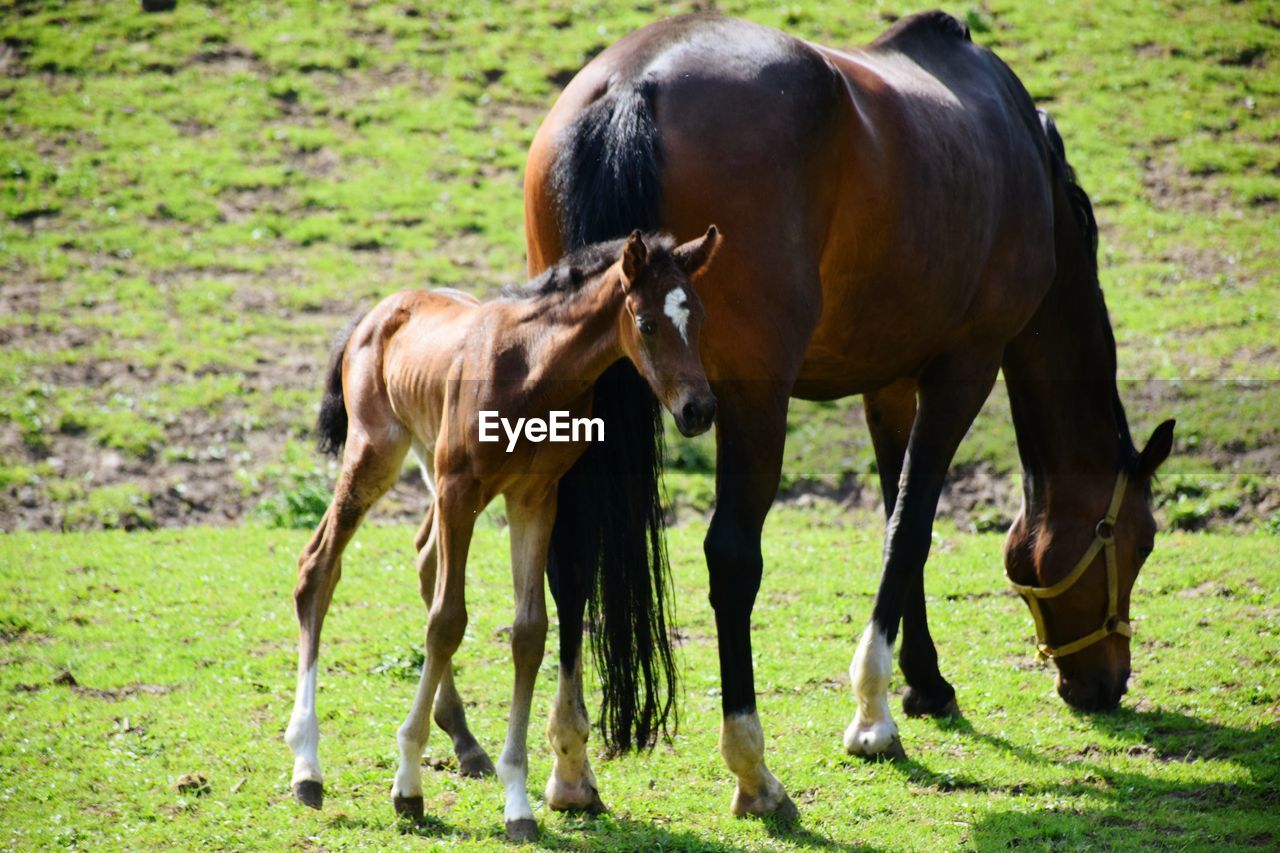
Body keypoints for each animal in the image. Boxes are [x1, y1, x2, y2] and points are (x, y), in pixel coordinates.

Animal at [284, 225, 721, 835]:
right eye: (647, 322)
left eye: (699, 317)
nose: (699, 410)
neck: (532, 371)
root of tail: (374, 314)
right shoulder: (460, 487)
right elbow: (447, 623)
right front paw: (407, 784)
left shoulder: (534, 496)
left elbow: (529, 633)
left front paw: (518, 802)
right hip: (377, 452)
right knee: (318, 566)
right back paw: (307, 765)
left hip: (430, 464)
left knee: (422, 556)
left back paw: (465, 742)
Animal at [517, 8, 1172, 819]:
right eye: (1141, 542)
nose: (1105, 683)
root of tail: (635, 83)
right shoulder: (965, 367)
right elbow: (912, 525)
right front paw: (873, 715)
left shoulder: (887, 383)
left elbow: (897, 518)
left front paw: (925, 682)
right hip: (754, 402)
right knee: (731, 557)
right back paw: (753, 769)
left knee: (570, 552)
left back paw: (572, 766)